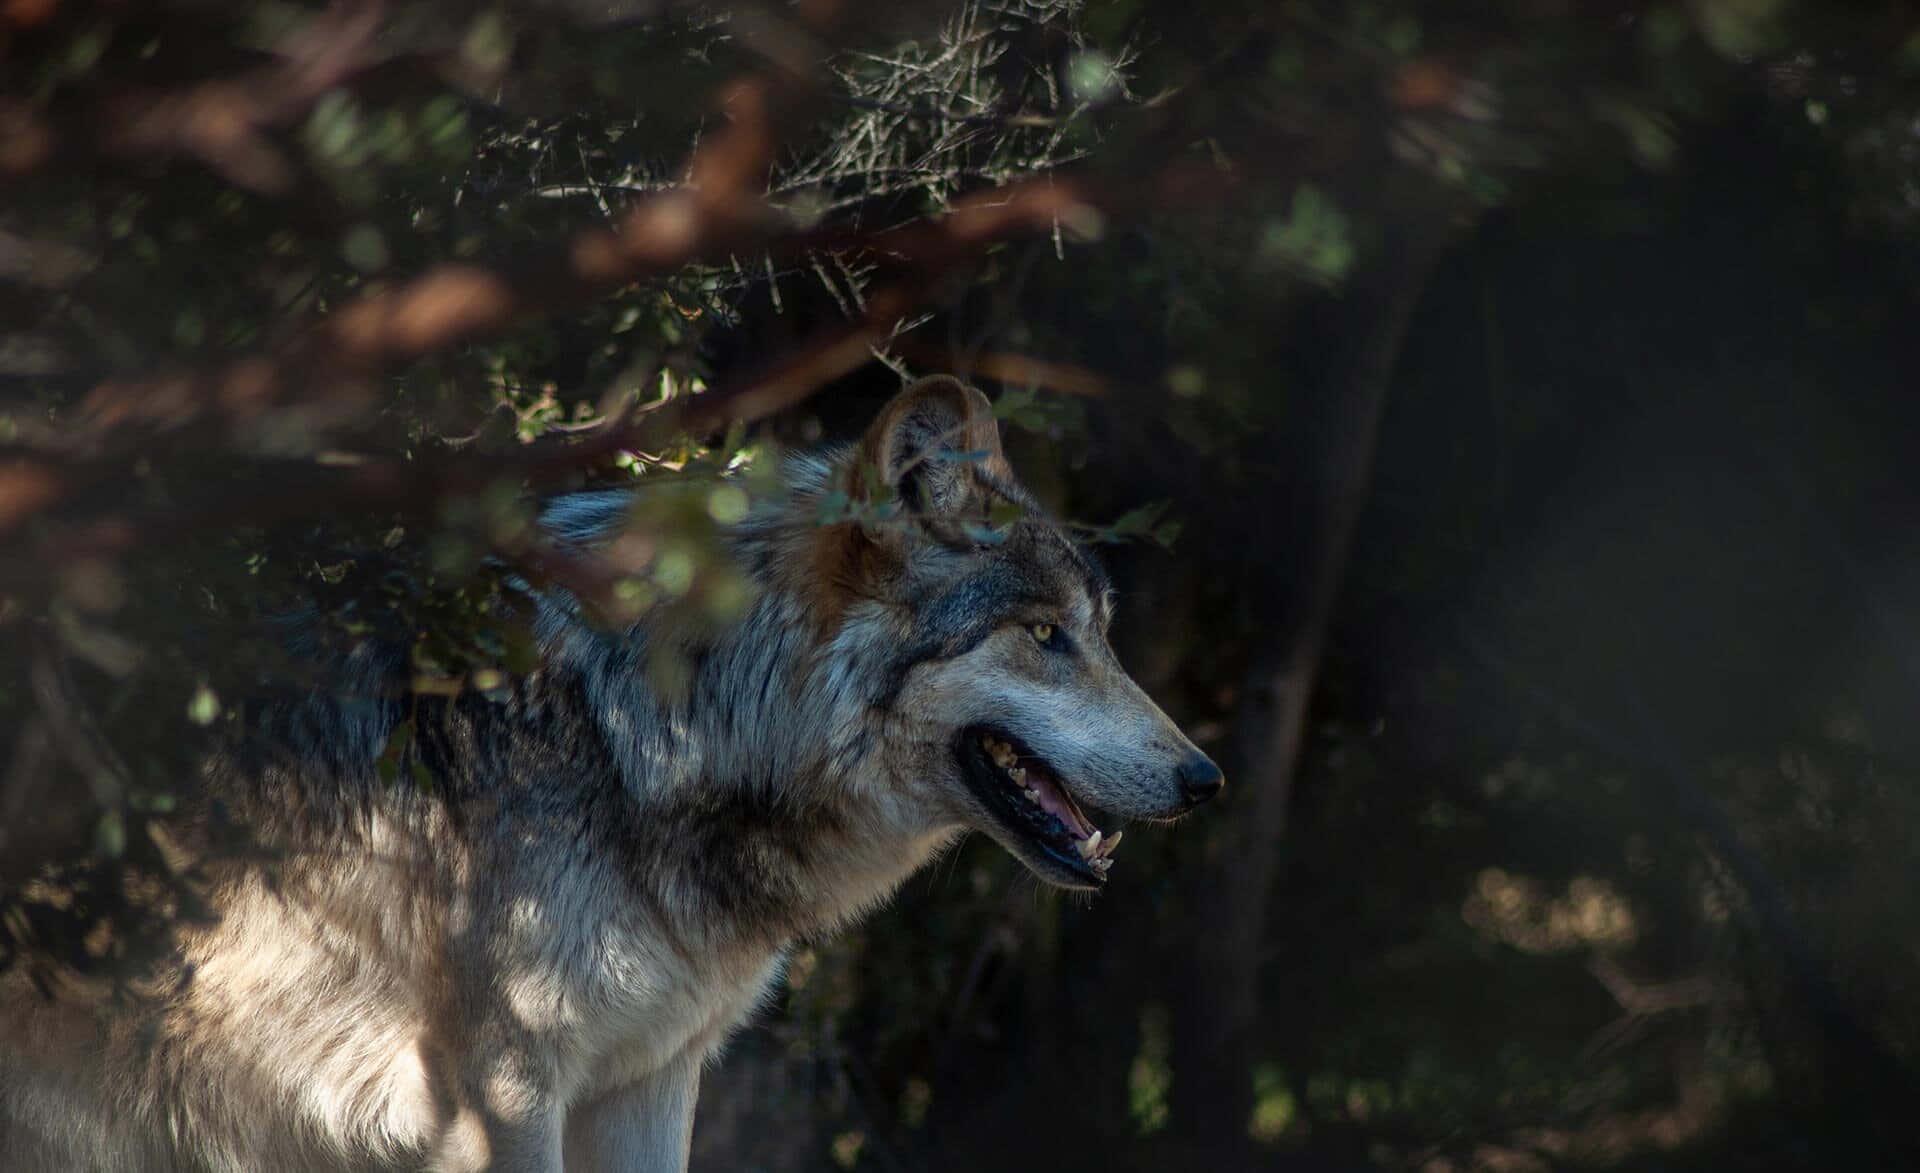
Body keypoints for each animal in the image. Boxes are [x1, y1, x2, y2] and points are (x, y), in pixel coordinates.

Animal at [0, 376, 1222, 1171]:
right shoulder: (498, 1098)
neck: (649, 729)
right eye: (1043, 635)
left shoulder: (650, 1079)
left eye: (1101, 631)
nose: (1206, 778)